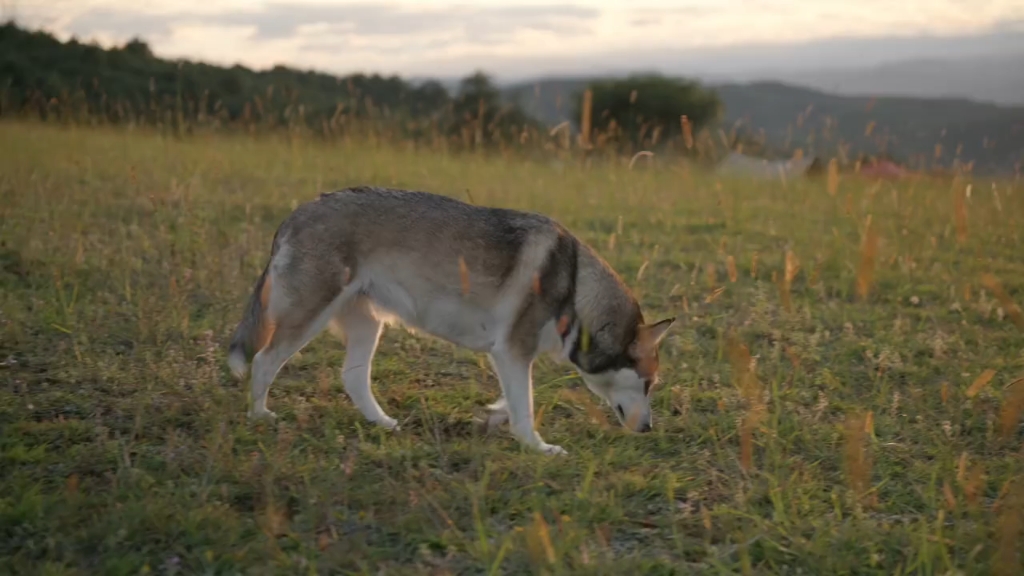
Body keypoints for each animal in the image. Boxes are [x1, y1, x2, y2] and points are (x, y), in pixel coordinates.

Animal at [227, 186, 671, 455]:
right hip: (307, 316)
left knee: (352, 379)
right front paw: (539, 448)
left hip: (368, 326)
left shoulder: (509, 357)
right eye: (649, 384)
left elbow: (514, 402)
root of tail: (297, 213)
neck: (576, 287)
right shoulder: (512, 351)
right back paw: (259, 417)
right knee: (264, 361)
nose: (650, 429)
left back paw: (383, 424)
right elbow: (525, 408)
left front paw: (497, 418)